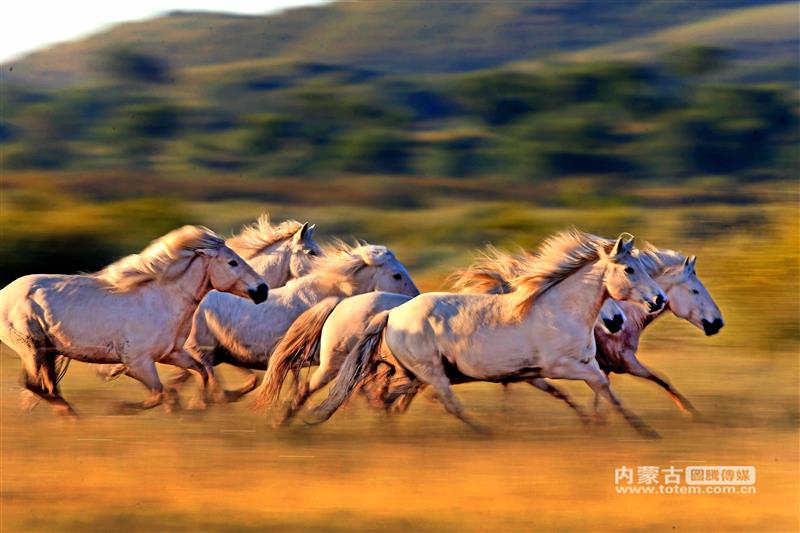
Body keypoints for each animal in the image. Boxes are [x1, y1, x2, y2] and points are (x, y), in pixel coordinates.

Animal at [0, 225, 268, 416]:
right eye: (232, 262)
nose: (262, 290)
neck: (160, 301)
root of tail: (5, 292)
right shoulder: (139, 363)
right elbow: (159, 393)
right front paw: (120, 409)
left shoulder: (170, 354)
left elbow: (200, 372)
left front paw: (194, 409)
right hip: (31, 347)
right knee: (33, 384)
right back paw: (73, 416)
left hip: (47, 351)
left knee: (47, 386)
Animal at [307, 231, 667, 438]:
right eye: (629, 269)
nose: (659, 300)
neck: (559, 310)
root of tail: (393, 314)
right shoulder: (562, 366)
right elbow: (602, 387)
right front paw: (645, 431)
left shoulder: (560, 369)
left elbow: (593, 392)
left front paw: (598, 423)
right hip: (430, 371)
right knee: (445, 402)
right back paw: (484, 431)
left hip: (414, 372)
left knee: (385, 395)